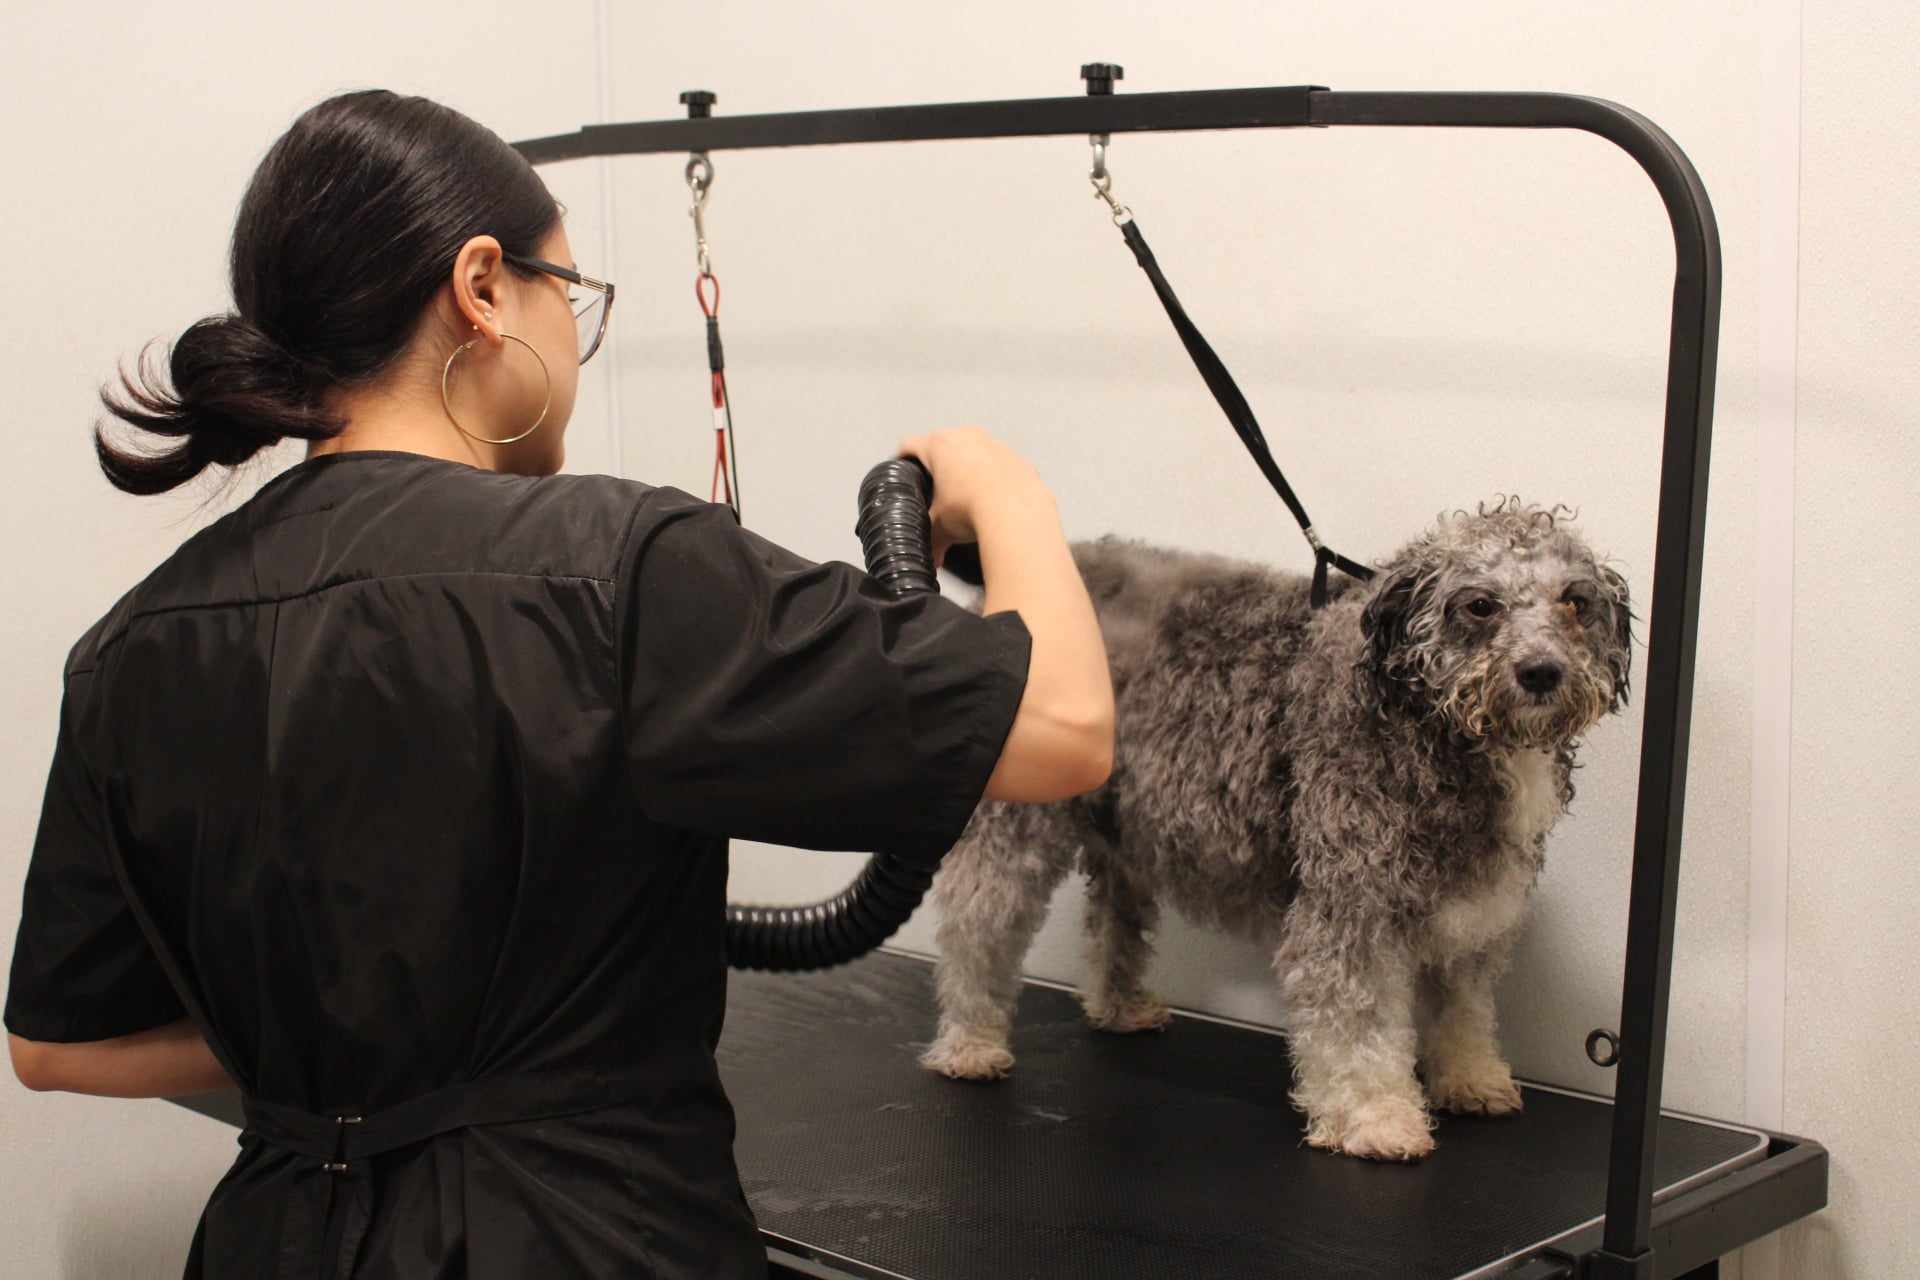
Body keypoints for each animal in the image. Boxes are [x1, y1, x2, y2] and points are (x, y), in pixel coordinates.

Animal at [921, 498, 1628, 1159]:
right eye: (1480, 605)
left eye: (1575, 602)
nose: (1542, 672)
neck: (1421, 720)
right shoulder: (1351, 910)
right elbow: (1359, 1025)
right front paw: (1374, 1117)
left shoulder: (1471, 910)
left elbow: (1464, 1007)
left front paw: (1470, 1079)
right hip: (1012, 823)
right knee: (976, 924)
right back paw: (970, 1041)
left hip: (1128, 830)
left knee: (1111, 922)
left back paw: (1118, 1006)